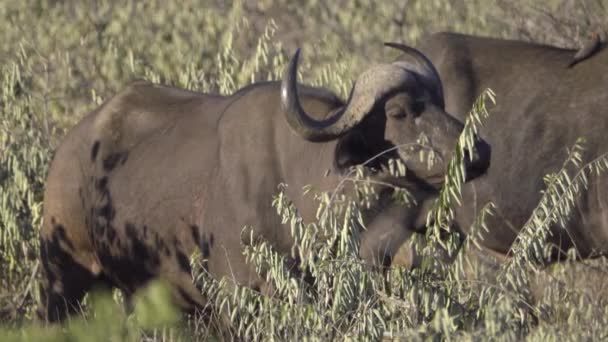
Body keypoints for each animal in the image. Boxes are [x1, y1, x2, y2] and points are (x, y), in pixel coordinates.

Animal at [39, 44, 490, 320]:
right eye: (399, 112)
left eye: (439, 103)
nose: (480, 151)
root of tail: (69, 147)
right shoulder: (239, 294)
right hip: (63, 276)